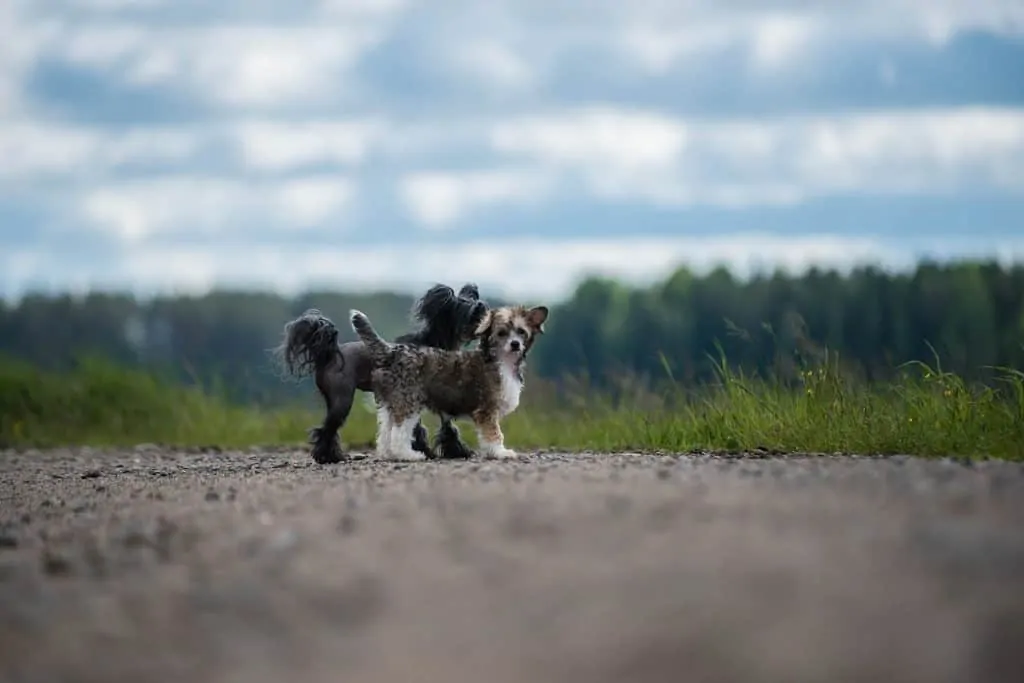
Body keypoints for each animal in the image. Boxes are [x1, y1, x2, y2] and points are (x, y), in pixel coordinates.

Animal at [274, 282, 485, 464]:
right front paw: (429, 452)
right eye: (468, 310)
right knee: (326, 430)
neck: (435, 340)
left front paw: (454, 451)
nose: (482, 306)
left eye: (477, 305)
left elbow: (446, 427)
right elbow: (426, 428)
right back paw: (329, 457)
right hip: (342, 400)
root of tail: (331, 353)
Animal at [348, 303, 548, 458]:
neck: (499, 361)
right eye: (501, 333)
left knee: (385, 432)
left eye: (521, 332)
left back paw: (388, 454)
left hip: (392, 403)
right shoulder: (486, 411)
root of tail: (393, 352)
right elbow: (494, 434)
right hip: (408, 403)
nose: (515, 344)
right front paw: (500, 452)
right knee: (399, 433)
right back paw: (408, 455)